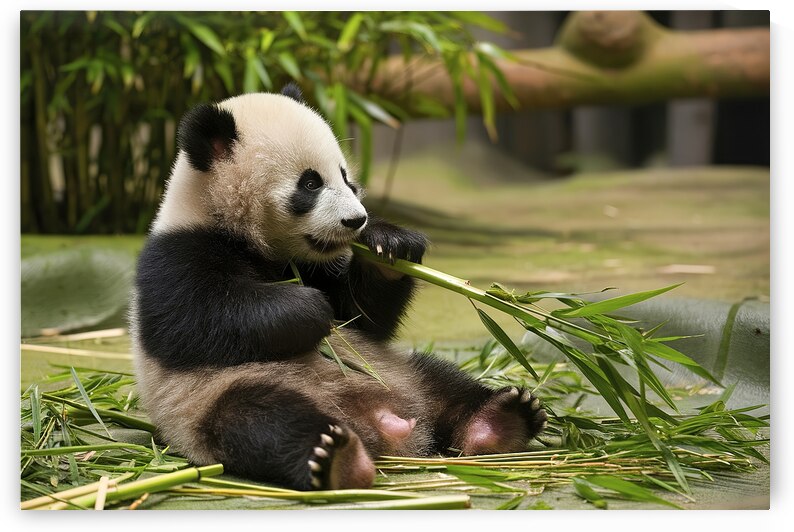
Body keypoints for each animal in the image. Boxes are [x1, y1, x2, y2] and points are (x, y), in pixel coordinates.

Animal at [130, 84, 548, 491]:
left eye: (346, 177)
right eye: (310, 183)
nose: (356, 220)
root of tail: (384, 422)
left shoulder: (317, 265)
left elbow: (363, 320)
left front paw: (389, 245)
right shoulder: (178, 254)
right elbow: (192, 323)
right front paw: (309, 309)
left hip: (402, 370)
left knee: (445, 381)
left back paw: (501, 419)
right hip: (217, 396)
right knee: (261, 420)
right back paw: (337, 459)